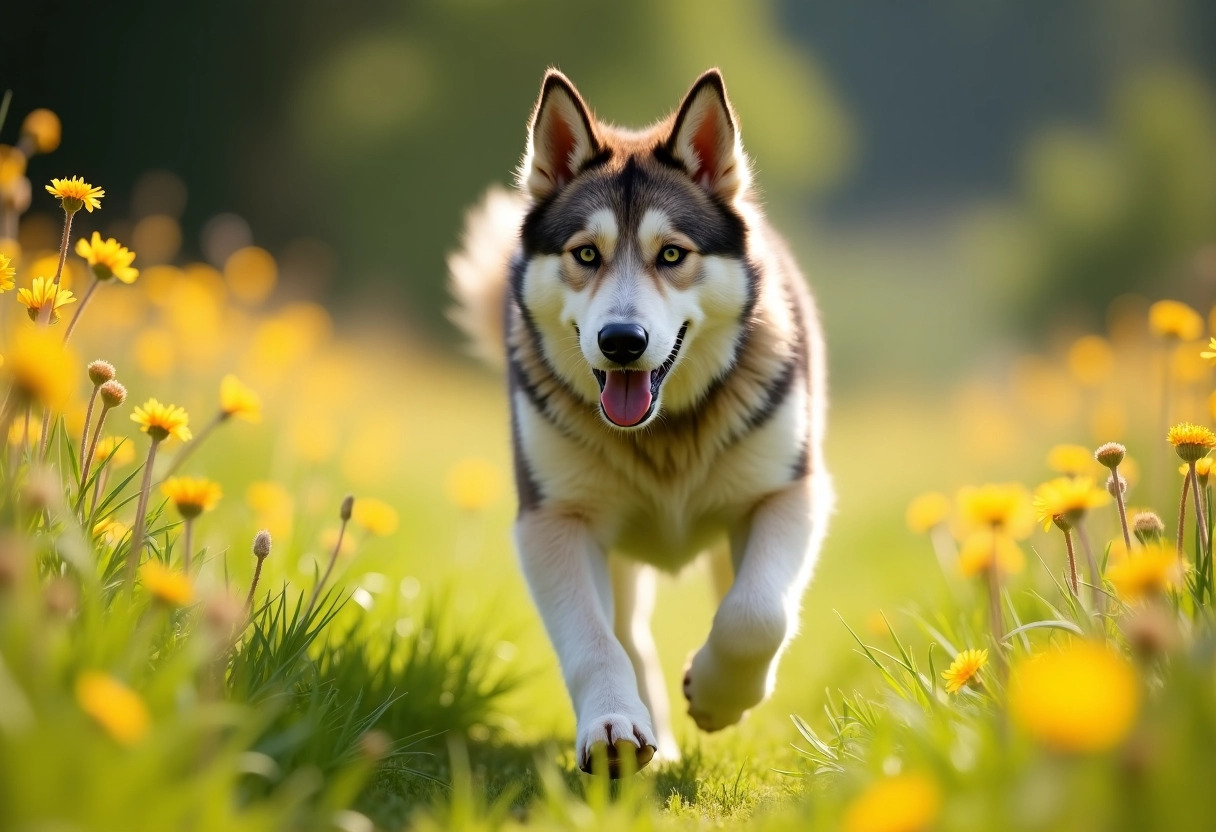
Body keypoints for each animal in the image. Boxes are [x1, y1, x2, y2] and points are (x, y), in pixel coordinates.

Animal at [449, 68, 836, 778]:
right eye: (586, 254)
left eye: (672, 255)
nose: (622, 341)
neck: (662, 434)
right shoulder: (553, 522)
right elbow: (596, 640)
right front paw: (612, 727)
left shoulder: (789, 493)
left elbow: (756, 613)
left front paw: (715, 695)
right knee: (629, 633)